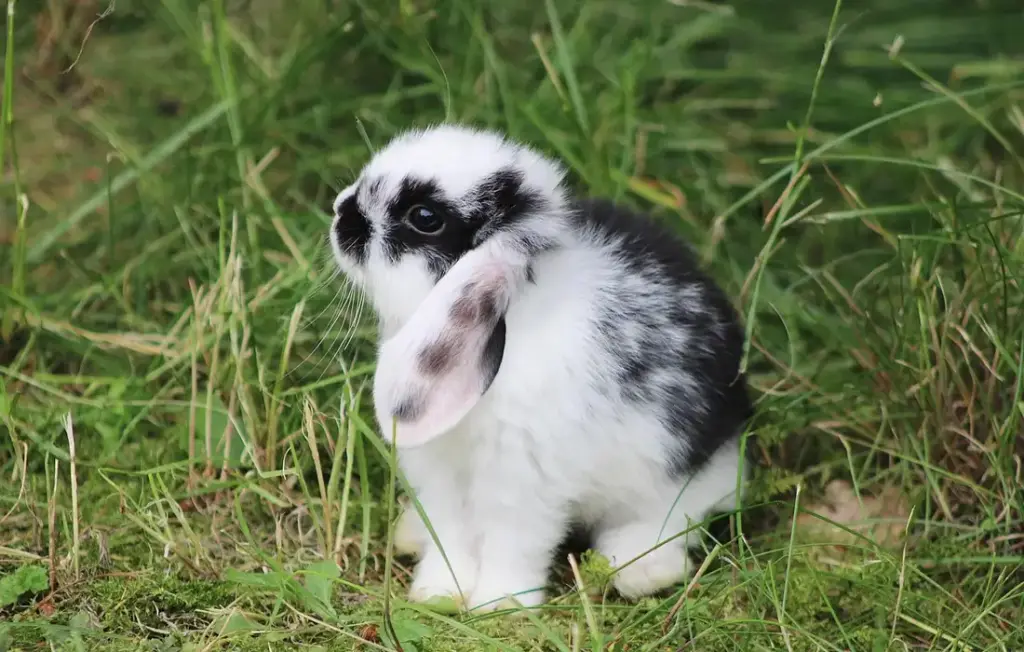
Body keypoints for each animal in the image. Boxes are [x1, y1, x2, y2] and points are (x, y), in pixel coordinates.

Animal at [328, 124, 753, 612]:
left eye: (425, 217)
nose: (341, 212)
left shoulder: (523, 481)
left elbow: (513, 545)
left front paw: (501, 605)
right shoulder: (440, 476)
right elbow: (450, 538)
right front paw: (438, 594)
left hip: (676, 477)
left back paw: (641, 571)